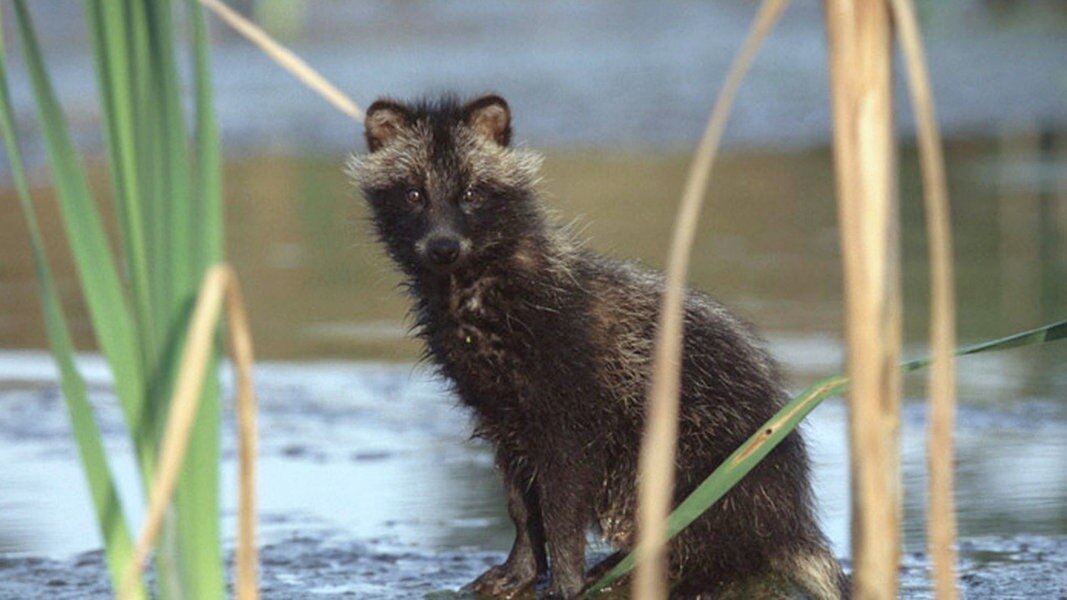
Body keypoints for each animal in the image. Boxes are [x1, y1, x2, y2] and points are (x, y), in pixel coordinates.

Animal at [349, 95, 849, 593]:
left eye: (472, 193)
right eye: (414, 194)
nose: (443, 247)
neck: (467, 285)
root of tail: (788, 521)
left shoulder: (573, 392)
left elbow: (564, 503)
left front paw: (565, 578)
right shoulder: (497, 406)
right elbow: (520, 497)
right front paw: (523, 564)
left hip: (706, 450)